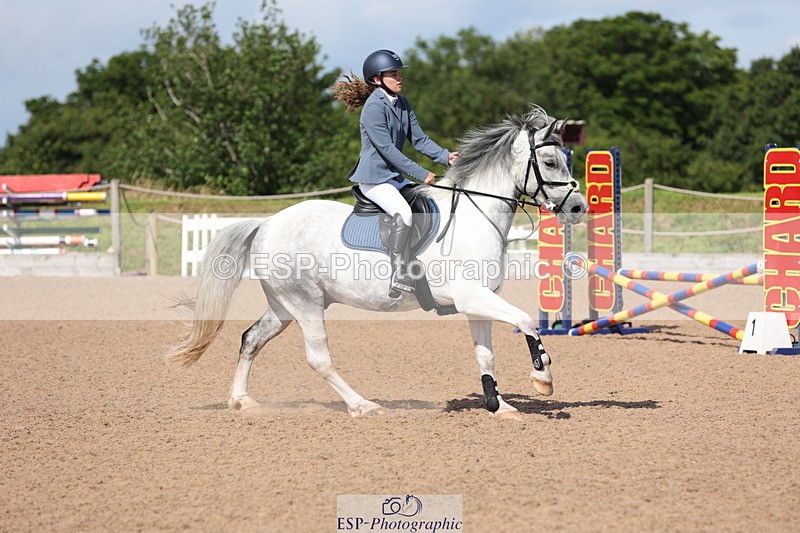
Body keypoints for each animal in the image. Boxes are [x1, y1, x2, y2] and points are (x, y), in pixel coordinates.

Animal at [166, 104, 588, 418]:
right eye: (550, 163)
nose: (578, 208)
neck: (475, 214)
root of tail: (267, 222)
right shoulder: (473, 297)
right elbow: (526, 321)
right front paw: (543, 379)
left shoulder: (478, 303)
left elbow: (486, 354)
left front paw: (499, 406)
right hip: (305, 304)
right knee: (318, 358)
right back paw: (363, 405)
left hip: (285, 305)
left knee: (251, 339)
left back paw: (242, 401)